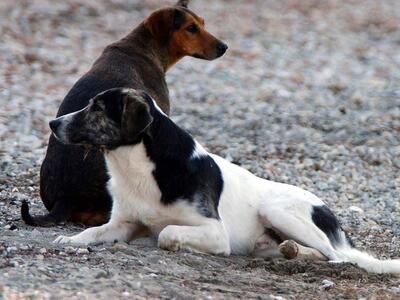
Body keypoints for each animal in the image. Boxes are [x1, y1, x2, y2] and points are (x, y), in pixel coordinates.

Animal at [50, 87, 400, 274]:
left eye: (97, 108)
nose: (53, 123)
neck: (140, 166)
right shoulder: (122, 223)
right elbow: (94, 231)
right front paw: (70, 239)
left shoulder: (215, 232)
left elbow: (168, 232)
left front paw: (176, 244)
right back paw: (291, 251)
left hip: (277, 210)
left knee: (336, 256)